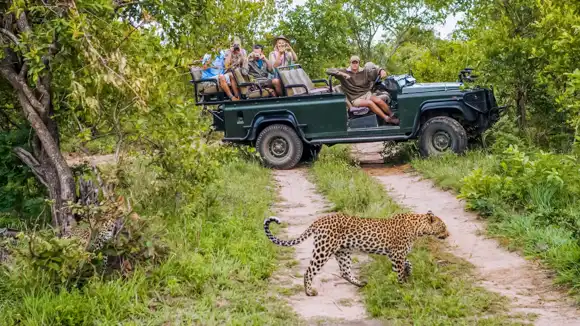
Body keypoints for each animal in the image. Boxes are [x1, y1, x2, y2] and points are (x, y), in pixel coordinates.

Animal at [262, 210, 448, 296]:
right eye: (443, 226)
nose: (448, 234)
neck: (418, 228)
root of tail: (319, 220)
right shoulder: (396, 255)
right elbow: (399, 271)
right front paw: (403, 286)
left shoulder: (395, 255)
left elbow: (408, 263)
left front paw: (409, 272)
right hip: (323, 250)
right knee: (309, 271)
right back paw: (309, 292)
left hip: (342, 252)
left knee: (345, 271)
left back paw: (361, 283)